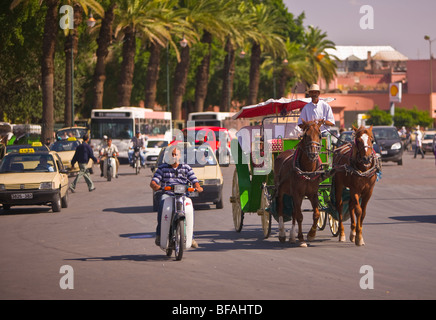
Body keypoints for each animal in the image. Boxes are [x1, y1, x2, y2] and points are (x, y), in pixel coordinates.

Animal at [276, 120, 328, 248]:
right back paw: (282, 234)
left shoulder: (313, 194)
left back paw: (292, 236)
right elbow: (300, 216)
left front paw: (311, 234)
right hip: (280, 190)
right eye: (305, 135)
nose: (313, 154)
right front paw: (301, 238)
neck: (307, 170)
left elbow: (316, 214)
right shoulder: (297, 194)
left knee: (294, 211)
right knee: (280, 209)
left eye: (320, 135)